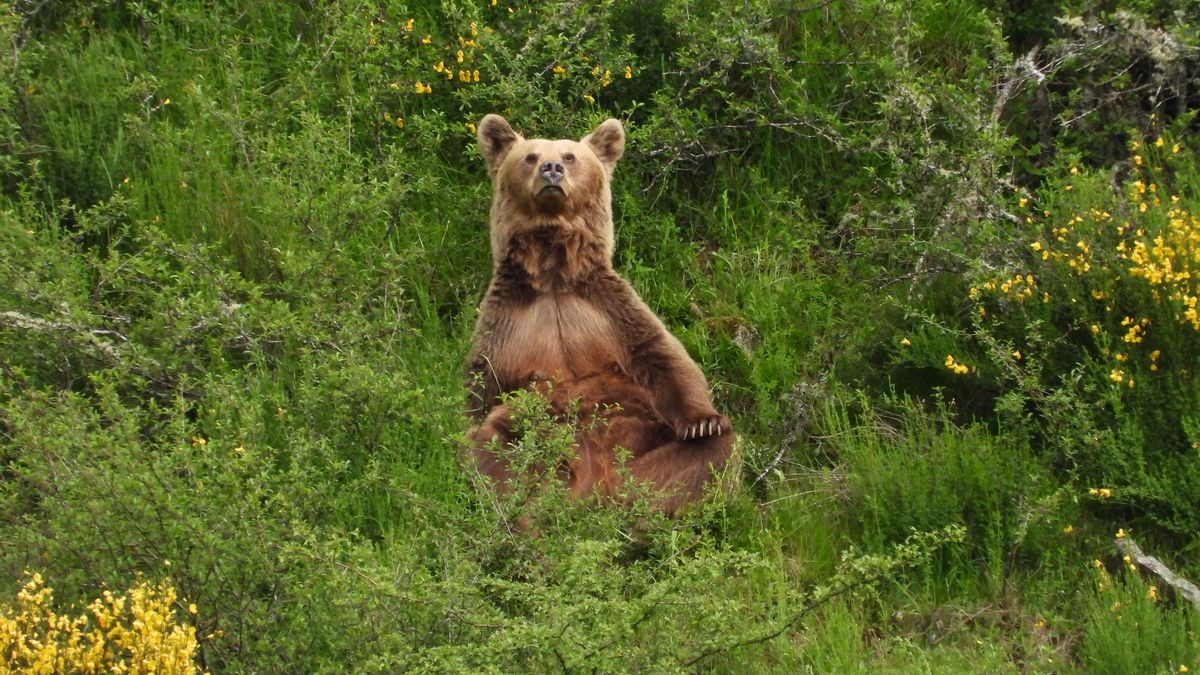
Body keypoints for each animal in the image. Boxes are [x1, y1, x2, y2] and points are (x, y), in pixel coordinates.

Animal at [466, 114, 733, 514]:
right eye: (530, 155)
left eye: (570, 155)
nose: (552, 168)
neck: (553, 271)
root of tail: (598, 489)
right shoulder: (509, 322)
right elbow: (481, 386)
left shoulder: (608, 309)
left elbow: (663, 355)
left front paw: (702, 422)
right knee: (490, 446)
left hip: (649, 460)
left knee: (714, 453)